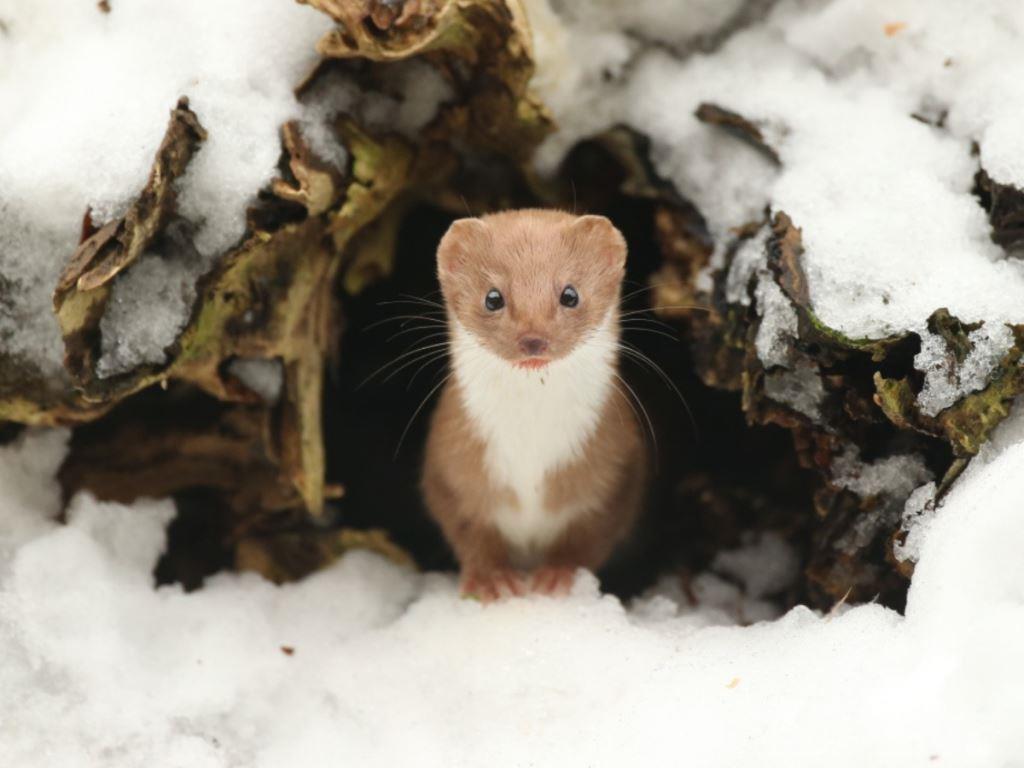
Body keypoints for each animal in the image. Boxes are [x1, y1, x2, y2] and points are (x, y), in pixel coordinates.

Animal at [417, 208, 643, 602]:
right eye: (493, 297)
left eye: (570, 294)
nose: (533, 339)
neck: (530, 447)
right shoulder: (449, 464)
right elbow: (468, 528)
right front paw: (492, 580)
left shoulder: (615, 473)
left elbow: (588, 537)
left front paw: (556, 576)